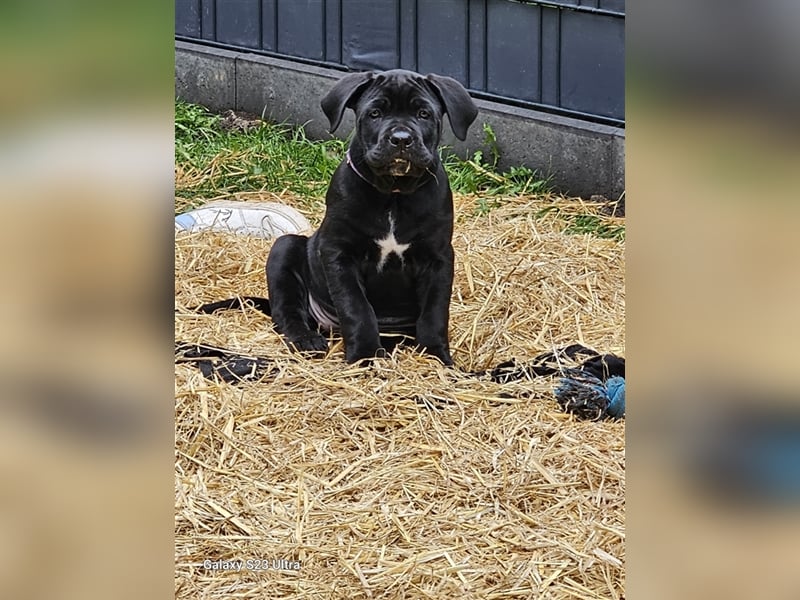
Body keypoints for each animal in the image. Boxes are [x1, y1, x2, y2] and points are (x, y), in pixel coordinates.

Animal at [266, 68, 478, 364]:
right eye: (375, 113)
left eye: (424, 114)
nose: (401, 138)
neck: (394, 194)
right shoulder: (339, 254)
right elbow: (356, 308)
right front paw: (364, 356)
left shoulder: (438, 258)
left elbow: (435, 312)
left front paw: (436, 356)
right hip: (284, 246)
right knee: (287, 310)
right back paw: (307, 339)